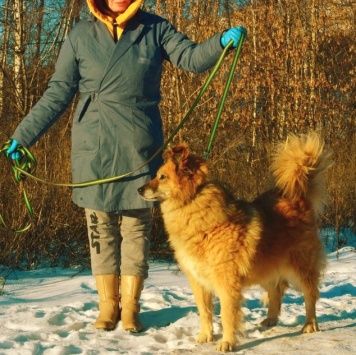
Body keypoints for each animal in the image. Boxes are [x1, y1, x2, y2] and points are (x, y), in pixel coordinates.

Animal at [138, 133, 332, 354]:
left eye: (162, 177)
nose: (139, 189)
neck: (193, 204)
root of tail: (298, 198)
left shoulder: (226, 282)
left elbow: (227, 314)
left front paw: (227, 342)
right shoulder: (198, 281)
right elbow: (205, 311)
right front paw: (205, 336)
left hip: (301, 267)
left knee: (310, 295)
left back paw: (310, 324)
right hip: (266, 267)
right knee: (276, 291)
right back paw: (270, 319)